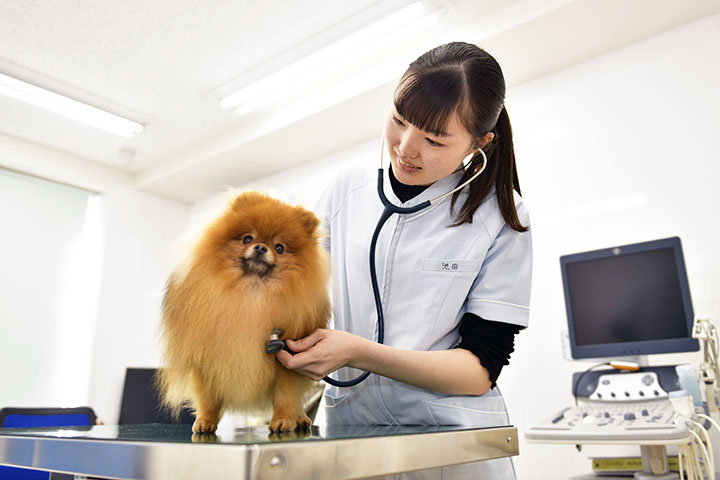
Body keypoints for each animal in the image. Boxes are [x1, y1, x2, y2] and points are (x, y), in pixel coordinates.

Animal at [159, 191, 330, 436]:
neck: (253, 292)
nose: (260, 248)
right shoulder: (206, 358)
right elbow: (209, 398)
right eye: (247, 239)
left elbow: (286, 396)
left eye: (279, 247)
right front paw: (206, 420)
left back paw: (300, 419)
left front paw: (283, 420)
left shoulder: (286, 364)